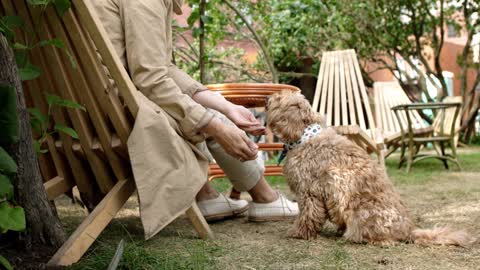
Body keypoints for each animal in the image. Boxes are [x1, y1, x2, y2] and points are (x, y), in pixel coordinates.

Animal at [266, 91, 476, 247]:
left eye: (278, 98)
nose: (267, 98)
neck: (305, 136)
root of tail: (409, 230)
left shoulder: (309, 191)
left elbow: (307, 216)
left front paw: (298, 233)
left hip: (360, 214)